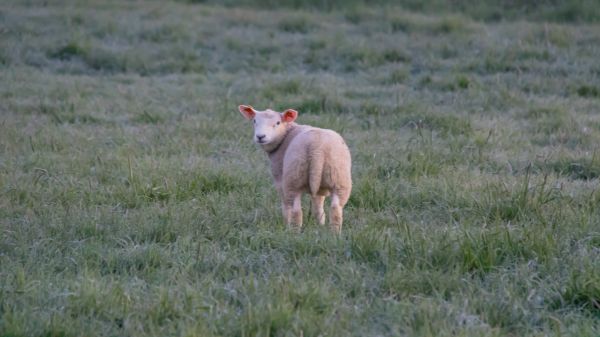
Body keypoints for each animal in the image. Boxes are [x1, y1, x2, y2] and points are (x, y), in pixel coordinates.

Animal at [238, 105, 352, 234]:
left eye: (278, 122)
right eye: (254, 121)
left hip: (294, 177)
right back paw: (334, 234)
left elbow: (286, 206)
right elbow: (318, 206)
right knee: (336, 209)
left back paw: (292, 232)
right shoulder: (320, 188)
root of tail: (317, 149)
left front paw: (285, 223)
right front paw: (320, 224)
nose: (260, 136)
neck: (285, 136)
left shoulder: (279, 178)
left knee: (296, 210)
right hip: (339, 177)